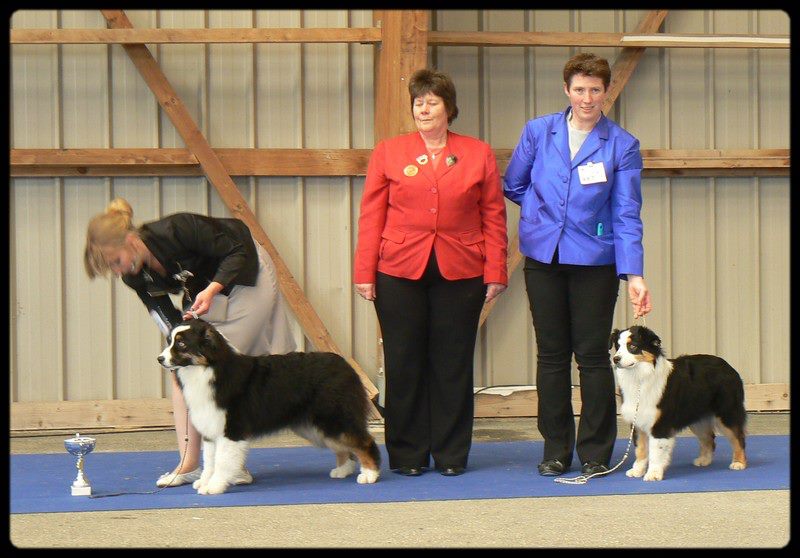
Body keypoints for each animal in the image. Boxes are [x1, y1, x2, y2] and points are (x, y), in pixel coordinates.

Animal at [159, 320, 382, 494]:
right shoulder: (211, 430)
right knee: (343, 447)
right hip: (318, 427)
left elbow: (221, 461)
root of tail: (346, 365)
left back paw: (370, 474)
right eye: (170, 341)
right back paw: (343, 470)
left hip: (334, 418)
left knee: (364, 442)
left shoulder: (231, 430)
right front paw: (204, 482)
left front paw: (214, 486)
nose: (159, 359)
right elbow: (209, 461)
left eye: (181, 343)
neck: (209, 369)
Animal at [608, 326, 748, 484]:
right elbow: (641, 449)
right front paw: (637, 470)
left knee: (738, 437)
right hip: (696, 418)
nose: (615, 359)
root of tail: (728, 367)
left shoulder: (660, 424)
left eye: (632, 347)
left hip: (726, 413)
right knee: (709, 438)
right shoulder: (637, 422)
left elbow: (656, 451)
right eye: (617, 347)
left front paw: (653, 474)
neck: (640, 378)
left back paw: (739, 463)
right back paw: (704, 460)